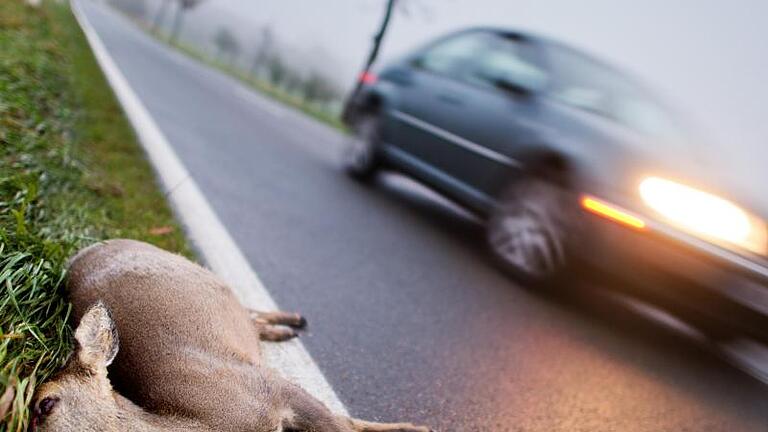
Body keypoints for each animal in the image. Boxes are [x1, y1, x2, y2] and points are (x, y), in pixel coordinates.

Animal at [31, 240, 432, 432]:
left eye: (44, 403)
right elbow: (348, 423)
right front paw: (417, 427)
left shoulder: (272, 389)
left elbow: (344, 424)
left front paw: (417, 426)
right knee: (253, 322)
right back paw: (287, 327)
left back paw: (294, 321)